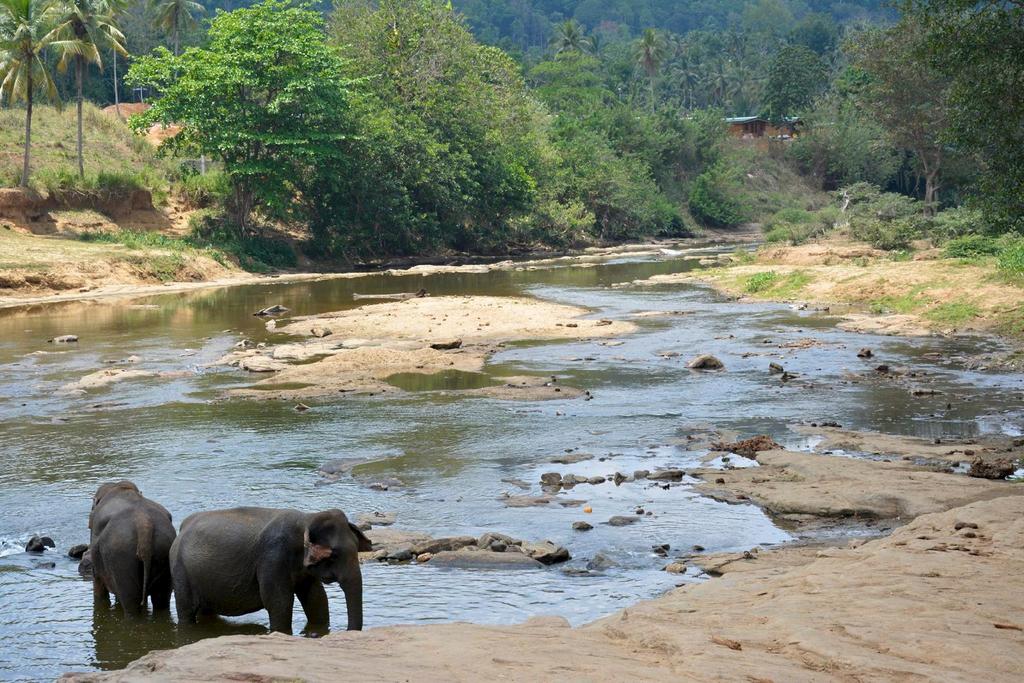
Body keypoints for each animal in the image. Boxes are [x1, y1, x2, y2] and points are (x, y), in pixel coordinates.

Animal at [89, 481, 177, 614]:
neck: (119, 487)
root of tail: (144, 522)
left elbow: (99, 589)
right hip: (164, 548)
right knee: (161, 600)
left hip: (121, 556)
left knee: (131, 603)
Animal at [169, 507, 374, 634]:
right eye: (334, 555)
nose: (347, 631)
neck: (306, 518)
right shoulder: (273, 557)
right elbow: (278, 601)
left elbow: (316, 598)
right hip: (180, 571)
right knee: (186, 611)